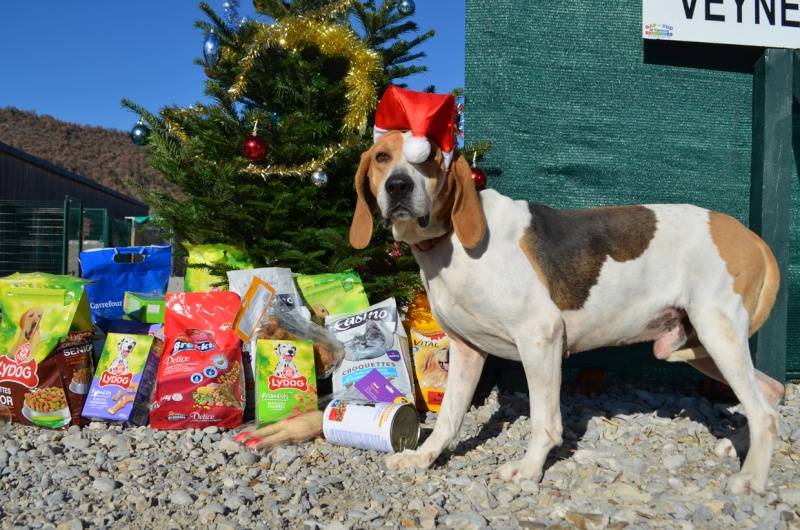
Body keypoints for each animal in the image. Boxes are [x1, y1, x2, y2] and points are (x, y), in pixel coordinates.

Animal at [348, 130, 780, 492]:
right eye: (382, 157)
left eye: (430, 158)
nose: (398, 186)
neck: (449, 239)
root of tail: (748, 234)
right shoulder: (466, 350)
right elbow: (449, 418)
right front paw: (424, 458)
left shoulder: (541, 337)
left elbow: (545, 422)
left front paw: (529, 469)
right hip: (701, 345)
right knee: (771, 393)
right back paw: (738, 448)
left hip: (717, 335)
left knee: (764, 413)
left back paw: (749, 480)